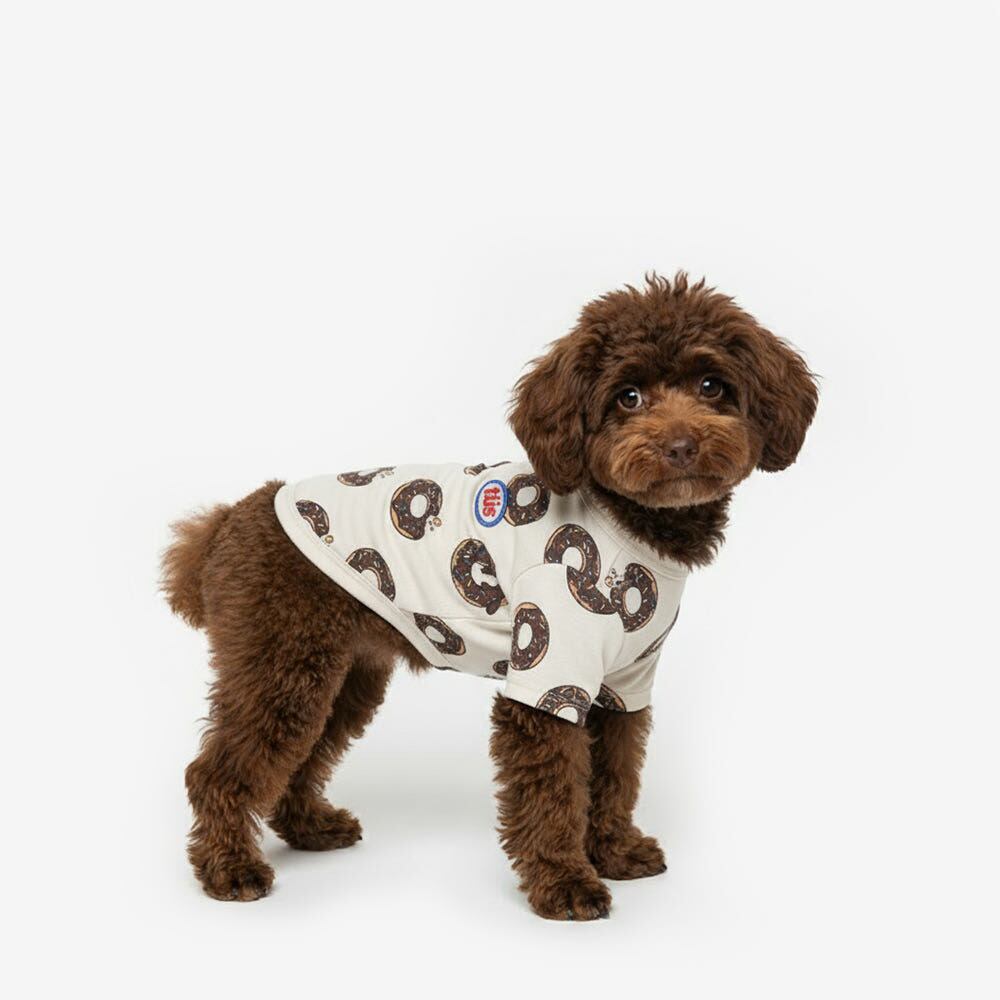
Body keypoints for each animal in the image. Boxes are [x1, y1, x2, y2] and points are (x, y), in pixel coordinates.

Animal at [162, 273, 817, 919]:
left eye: (712, 386)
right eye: (628, 397)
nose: (680, 446)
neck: (625, 520)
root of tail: (229, 518)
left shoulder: (623, 686)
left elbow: (615, 775)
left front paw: (615, 851)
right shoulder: (548, 676)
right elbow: (552, 790)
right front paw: (564, 882)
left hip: (340, 672)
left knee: (300, 755)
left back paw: (310, 828)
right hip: (282, 661)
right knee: (219, 770)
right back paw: (230, 869)